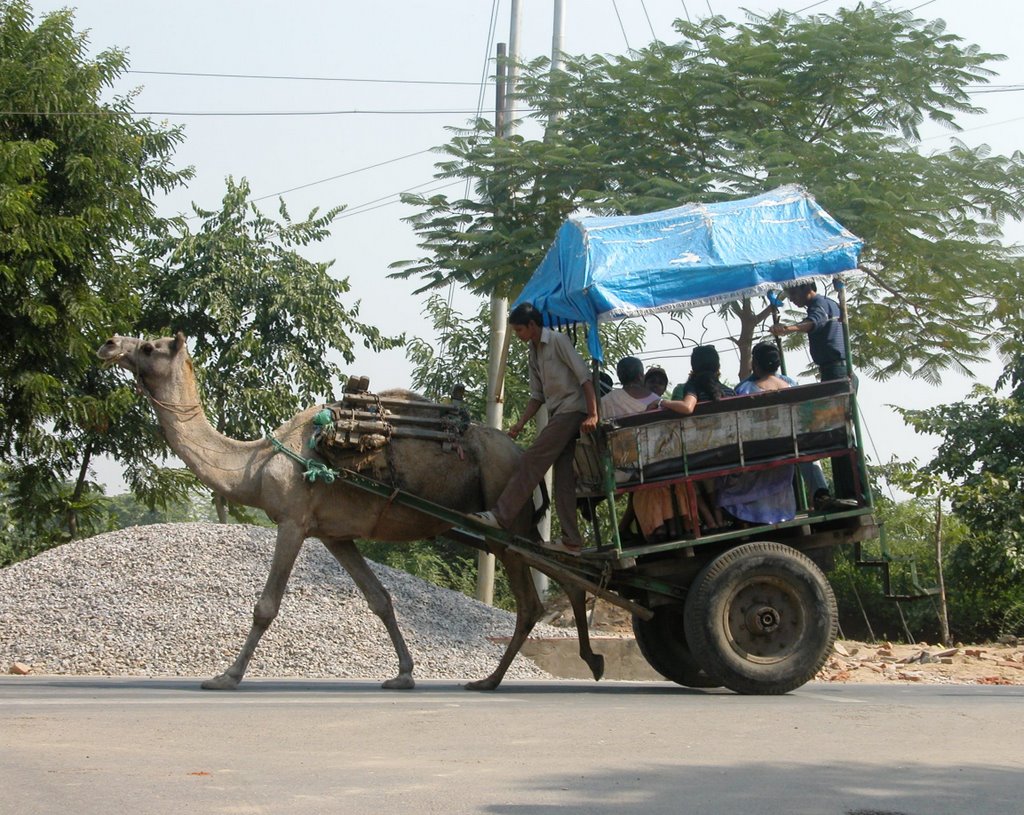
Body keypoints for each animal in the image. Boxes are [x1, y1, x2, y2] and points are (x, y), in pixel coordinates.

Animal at [96, 333, 602, 692]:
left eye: (150, 346)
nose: (109, 343)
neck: (257, 463)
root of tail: (520, 455)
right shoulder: (334, 535)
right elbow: (380, 599)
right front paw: (403, 674)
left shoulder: (293, 520)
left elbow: (266, 606)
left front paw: (225, 677)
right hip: (513, 529)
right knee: (565, 580)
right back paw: (567, 664)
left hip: (507, 517)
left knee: (540, 596)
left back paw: (509, 676)